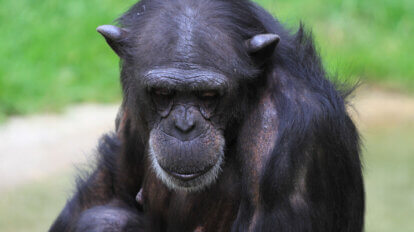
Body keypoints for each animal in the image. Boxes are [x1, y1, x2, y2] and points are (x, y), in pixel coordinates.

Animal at [49, 0, 366, 231]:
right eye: (163, 92)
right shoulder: (133, 106)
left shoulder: (296, 132)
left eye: (209, 95)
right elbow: (109, 194)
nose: (184, 126)